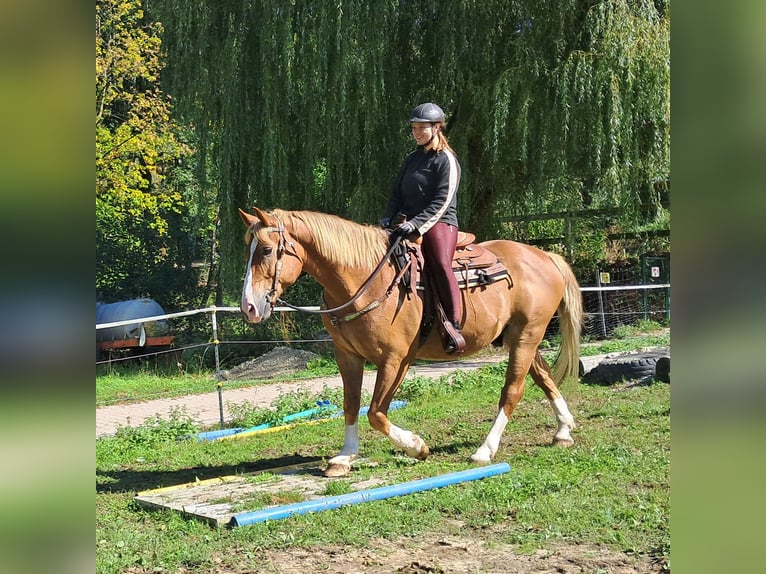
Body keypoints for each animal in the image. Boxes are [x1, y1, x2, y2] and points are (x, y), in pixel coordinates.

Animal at [238, 209, 584, 480]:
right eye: (248, 250)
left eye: (266, 250)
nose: (249, 307)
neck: (364, 279)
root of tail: (544, 255)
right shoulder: (347, 356)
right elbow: (351, 404)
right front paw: (345, 456)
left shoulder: (396, 359)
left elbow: (376, 413)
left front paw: (417, 447)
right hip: (521, 338)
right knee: (542, 376)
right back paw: (563, 430)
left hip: (527, 335)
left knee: (513, 389)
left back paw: (484, 450)